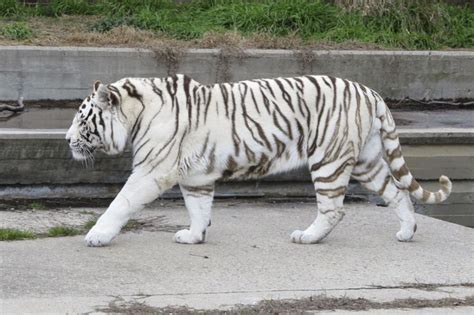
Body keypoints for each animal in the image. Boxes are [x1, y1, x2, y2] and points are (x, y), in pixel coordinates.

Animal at [65, 74, 452, 247]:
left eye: (82, 119)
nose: (67, 139)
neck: (137, 113)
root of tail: (371, 92)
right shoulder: (196, 176)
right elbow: (198, 207)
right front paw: (194, 236)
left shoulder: (151, 170)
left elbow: (121, 202)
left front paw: (97, 235)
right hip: (367, 161)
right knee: (397, 192)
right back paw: (406, 232)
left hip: (329, 159)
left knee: (333, 209)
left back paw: (307, 237)